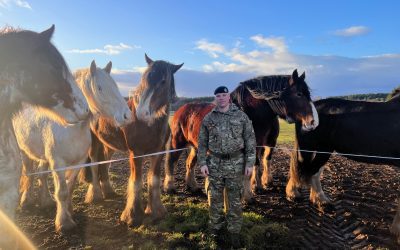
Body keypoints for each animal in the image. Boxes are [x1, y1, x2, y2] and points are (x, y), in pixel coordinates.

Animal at [12, 61, 130, 232]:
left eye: (115, 85)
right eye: (100, 88)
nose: (127, 115)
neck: (71, 126)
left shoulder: (78, 162)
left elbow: (69, 188)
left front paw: (69, 211)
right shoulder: (58, 163)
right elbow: (61, 191)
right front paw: (64, 222)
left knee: (41, 174)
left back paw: (45, 200)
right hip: (24, 151)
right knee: (29, 173)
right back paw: (26, 200)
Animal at [83, 54, 184, 227]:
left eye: (163, 81)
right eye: (144, 78)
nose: (141, 112)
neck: (149, 124)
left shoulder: (158, 153)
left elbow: (154, 180)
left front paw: (156, 211)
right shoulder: (136, 153)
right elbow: (136, 181)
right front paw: (132, 216)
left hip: (109, 145)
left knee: (105, 164)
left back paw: (108, 191)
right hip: (94, 143)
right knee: (95, 164)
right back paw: (95, 195)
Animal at [163, 69, 318, 201]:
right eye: (299, 94)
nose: (313, 121)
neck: (250, 112)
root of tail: (181, 109)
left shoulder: (258, 145)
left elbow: (255, 165)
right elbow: (251, 167)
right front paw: (248, 196)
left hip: (197, 146)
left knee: (190, 163)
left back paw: (193, 187)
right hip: (177, 142)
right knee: (171, 161)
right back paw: (169, 187)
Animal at [286, 91, 400, 242]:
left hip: (323, 150)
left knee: (314, 173)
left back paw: (320, 201)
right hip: (314, 148)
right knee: (306, 170)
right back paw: (297, 196)